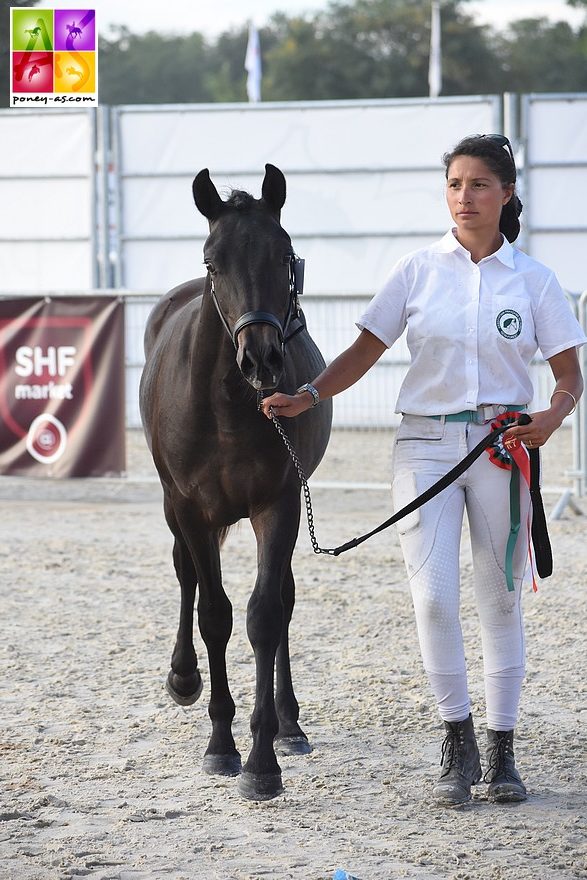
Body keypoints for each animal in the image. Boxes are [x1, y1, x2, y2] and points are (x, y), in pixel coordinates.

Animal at [138, 162, 330, 800]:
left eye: (284, 254)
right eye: (213, 261)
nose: (262, 359)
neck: (226, 405)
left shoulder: (279, 505)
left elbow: (265, 614)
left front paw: (263, 760)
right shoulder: (192, 511)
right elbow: (214, 614)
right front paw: (221, 744)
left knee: (285, 600)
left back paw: (291, 725)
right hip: (175, 511)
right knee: (185, 577)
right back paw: (182, 677)